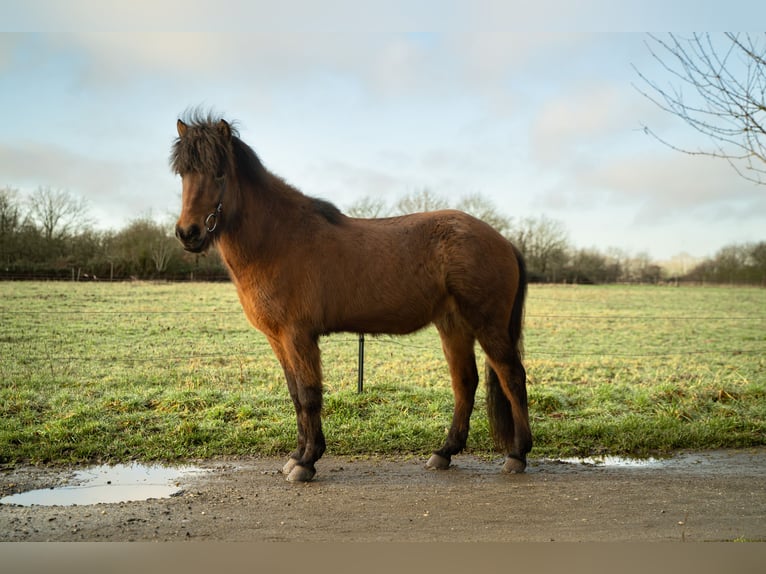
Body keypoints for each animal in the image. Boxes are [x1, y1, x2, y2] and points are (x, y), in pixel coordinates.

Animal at [171, 113, 530, 482]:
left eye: (219, 173)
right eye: (183, 172)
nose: (188, 233)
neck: (278, 239)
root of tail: (504, 241)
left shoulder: (298, 335)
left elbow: (309, 395)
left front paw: (307, 462)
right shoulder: (278, 339)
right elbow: (295, 395)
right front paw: (296, 455)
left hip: (488, 325)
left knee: (512, 378)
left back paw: (517, 455)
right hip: (453, 326)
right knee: (465, 382)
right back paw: (444, 452)